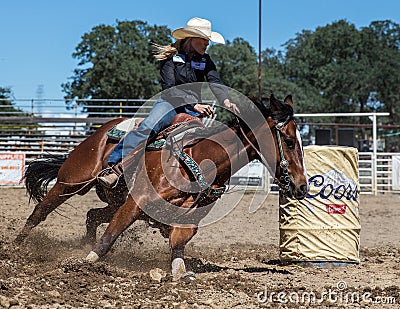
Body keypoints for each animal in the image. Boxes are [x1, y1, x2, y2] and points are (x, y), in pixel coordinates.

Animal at [15, 93, 308, 276]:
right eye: (289, 141)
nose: (302, 187)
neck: (198, 158)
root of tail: (102, 130)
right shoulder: (138, 202)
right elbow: (111, 235)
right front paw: (86, 262)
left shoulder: (187, 217)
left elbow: (179, 241)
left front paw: (180, 272)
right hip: (72, 180)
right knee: (41, 211)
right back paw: (16, 246)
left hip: (113, 199)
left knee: (91, 215)